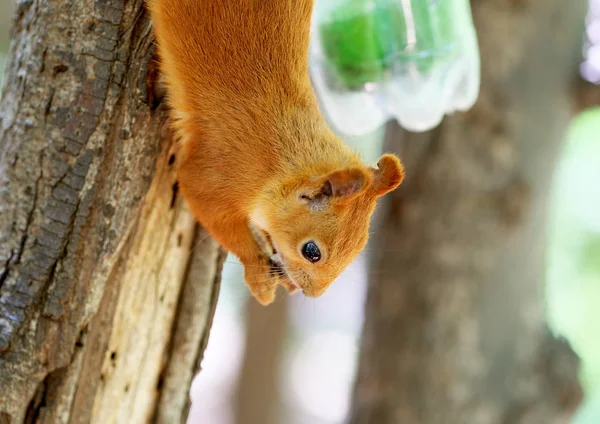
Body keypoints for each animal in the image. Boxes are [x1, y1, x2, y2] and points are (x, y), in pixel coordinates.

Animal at [148, 0, 406, 304]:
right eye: (311, 251)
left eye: (359, 248)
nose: (310, 294)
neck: (280, 166)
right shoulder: (215, 172)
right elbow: (215, 215)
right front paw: (258, 276)